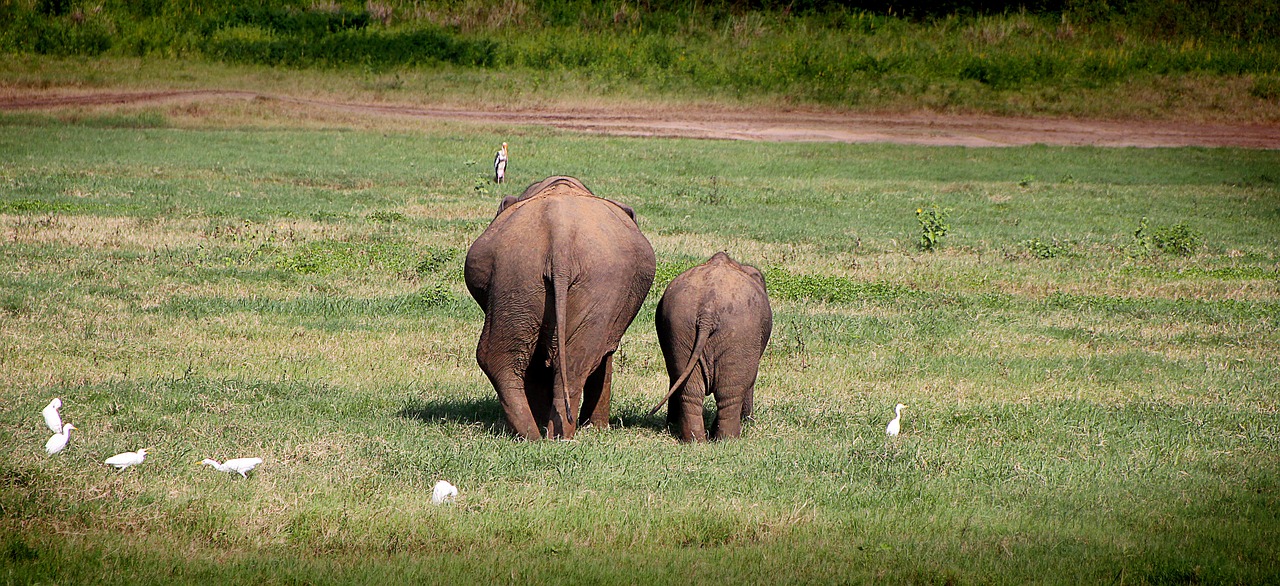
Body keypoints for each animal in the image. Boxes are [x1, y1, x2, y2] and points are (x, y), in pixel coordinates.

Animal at [465, 175, 655, 440]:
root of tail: (560, 235)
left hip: (520, 274)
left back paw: (539, 434)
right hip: (542, 276)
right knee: (575, 358)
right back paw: (550, 434)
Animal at [650, 250, 768, 440]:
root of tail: (708, 311)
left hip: (680, 327)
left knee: (689, 390)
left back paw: (695, 440)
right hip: (741, 333)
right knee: (730, 394)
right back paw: (728, 440)